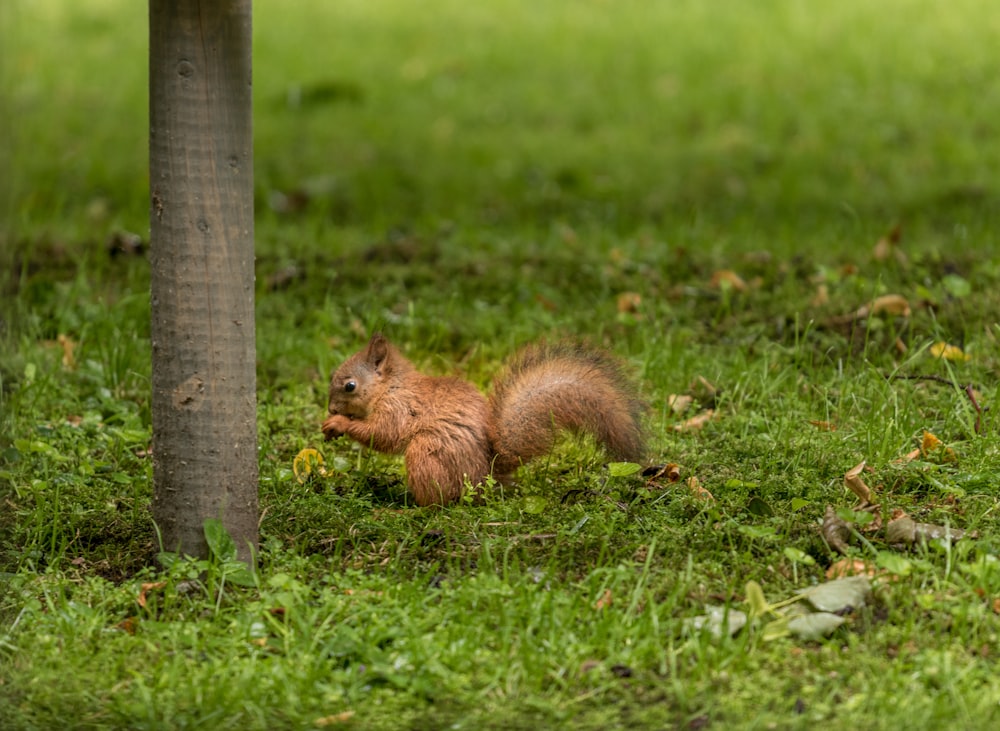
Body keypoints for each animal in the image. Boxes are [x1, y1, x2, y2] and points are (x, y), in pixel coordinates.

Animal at [322, 334, 648, 506]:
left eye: (350, 386)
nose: (330, 408)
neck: (391, 387)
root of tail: (487, 474)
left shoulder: (399, 409)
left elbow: (384, 434)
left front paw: (340, 424)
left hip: (426, 454)